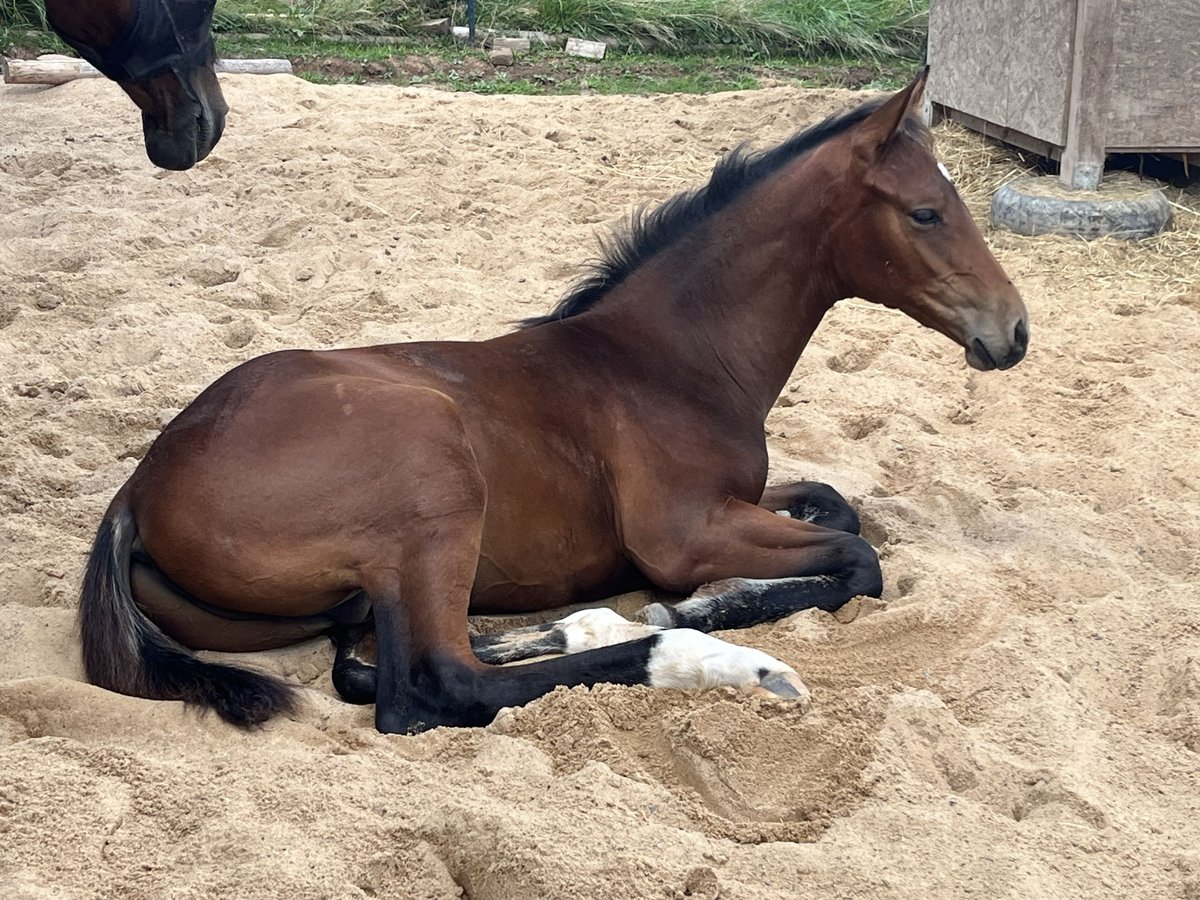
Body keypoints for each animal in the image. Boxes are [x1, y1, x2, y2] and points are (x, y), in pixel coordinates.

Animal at [77, 71, 1030, 734]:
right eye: (926, 212)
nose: (1014, 331)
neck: (668, 361)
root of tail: (139, 488)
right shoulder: (682, 534)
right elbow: (857, 558)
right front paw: (702, 607)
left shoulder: (742, 495)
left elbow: (838, 505)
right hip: (432, 477)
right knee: (434, 685)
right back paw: (710, 656)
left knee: (377, 660)